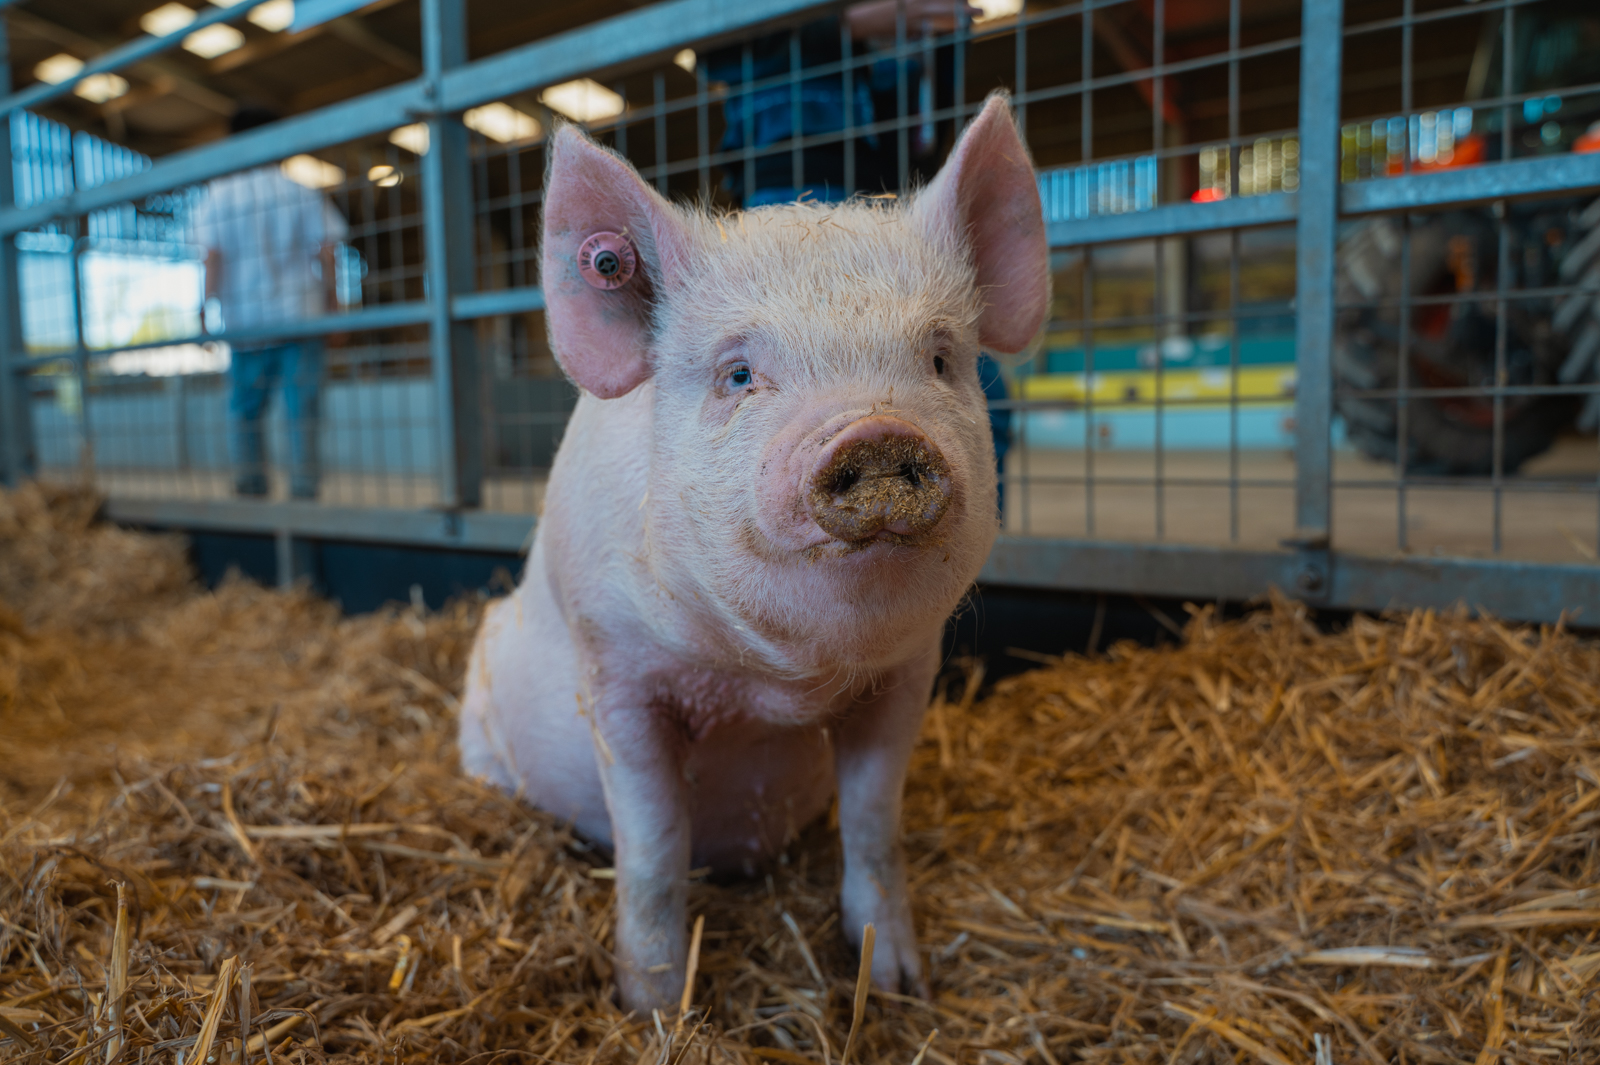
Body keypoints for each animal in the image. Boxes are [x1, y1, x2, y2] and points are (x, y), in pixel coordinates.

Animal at [458, 92, 1048, 1013]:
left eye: (940, 358)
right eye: (738, 374)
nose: (877, 432)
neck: (776, 683)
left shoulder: (907, 672)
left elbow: (874, 820)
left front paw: (897, 987)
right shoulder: (615, 669)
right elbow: (655, 844)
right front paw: (654, 1009)